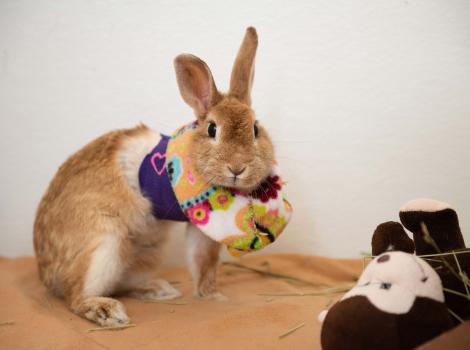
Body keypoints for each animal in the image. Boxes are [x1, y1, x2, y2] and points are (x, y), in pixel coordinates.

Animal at [33, 26, 276, 326]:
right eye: (212, 129)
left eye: (255, 129)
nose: (238, 167)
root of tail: (46, 273)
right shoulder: (200, 224)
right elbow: (204, 260)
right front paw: (214, 297)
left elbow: (204, 264)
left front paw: (212, 296)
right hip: (103, 245)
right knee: (75, 295)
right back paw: (108, 312)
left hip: (146, 251)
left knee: (122, 283)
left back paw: (158, 290)